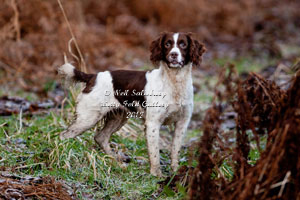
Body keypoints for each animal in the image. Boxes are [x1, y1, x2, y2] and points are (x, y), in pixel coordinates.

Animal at [57, 32, 205, 176]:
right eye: (167, 44)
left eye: (183, 44)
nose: (174, 54)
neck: (175, 83)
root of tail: (93, 76)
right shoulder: (153, 123)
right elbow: (155, 153)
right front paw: (156, 175)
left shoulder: (182, 123)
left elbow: (175, 150)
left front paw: (175, 172)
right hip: (88, 118)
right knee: (63, 136)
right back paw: (64, 156)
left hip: (118, 117)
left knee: (100, 137)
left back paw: (116, 161)